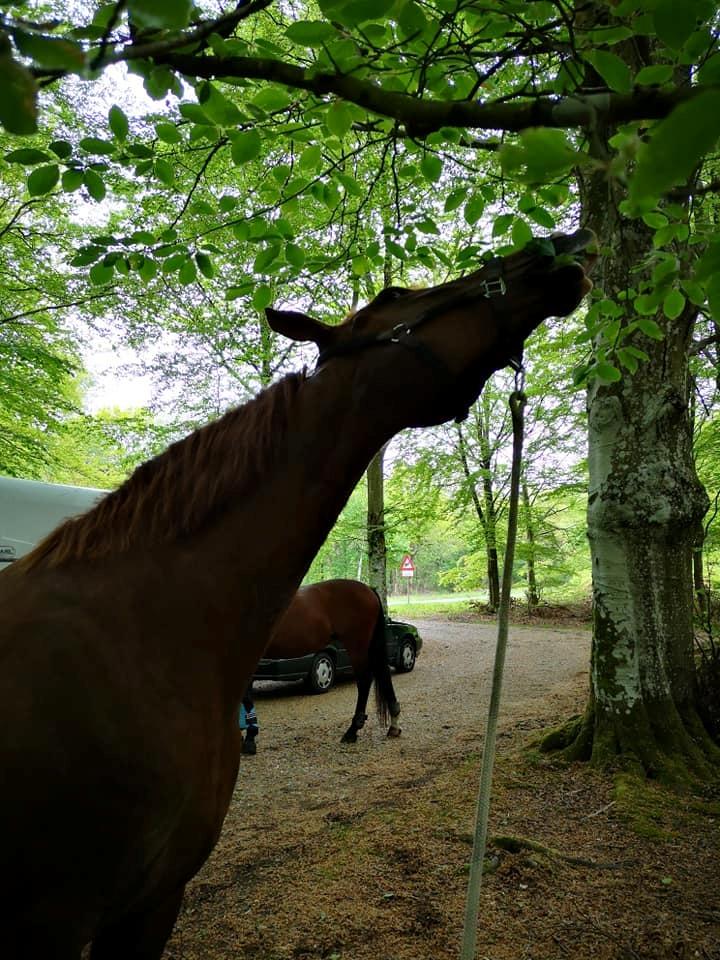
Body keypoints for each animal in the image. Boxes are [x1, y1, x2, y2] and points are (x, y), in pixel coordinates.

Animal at [264, 576, 402, 744]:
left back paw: (352, 730)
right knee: (382, 674)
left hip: (357, 647)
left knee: (365, 680)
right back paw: (393, 725)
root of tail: (368, 589)